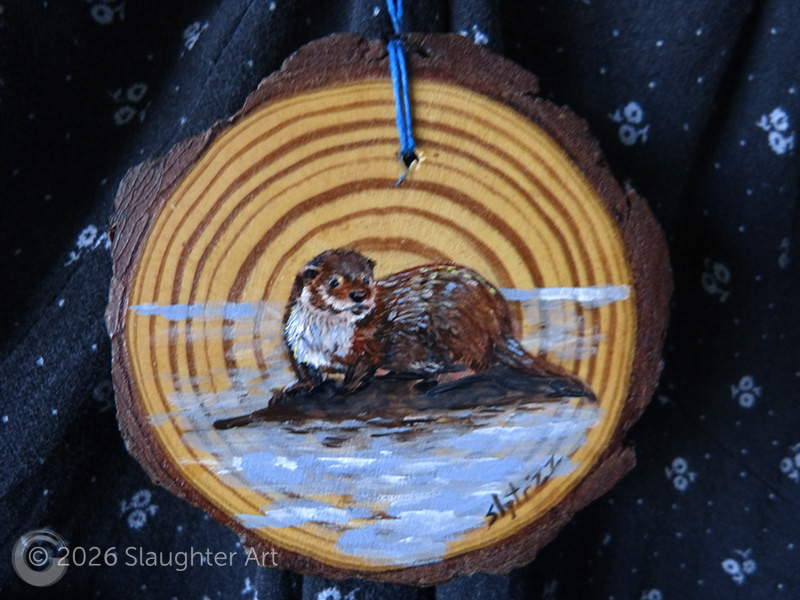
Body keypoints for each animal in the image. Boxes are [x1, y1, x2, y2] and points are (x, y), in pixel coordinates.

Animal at [282, 249, 595, 400]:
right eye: (334, 281)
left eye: (366, 280)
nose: (359, 294)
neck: (326, 339)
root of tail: (497, 321)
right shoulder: (297, 344)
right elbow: (308, 373)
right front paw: (300, 387)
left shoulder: (371, 341)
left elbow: (361, 368)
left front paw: (346, 387)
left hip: (452, 328)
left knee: (479, 364)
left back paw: (436, 379)